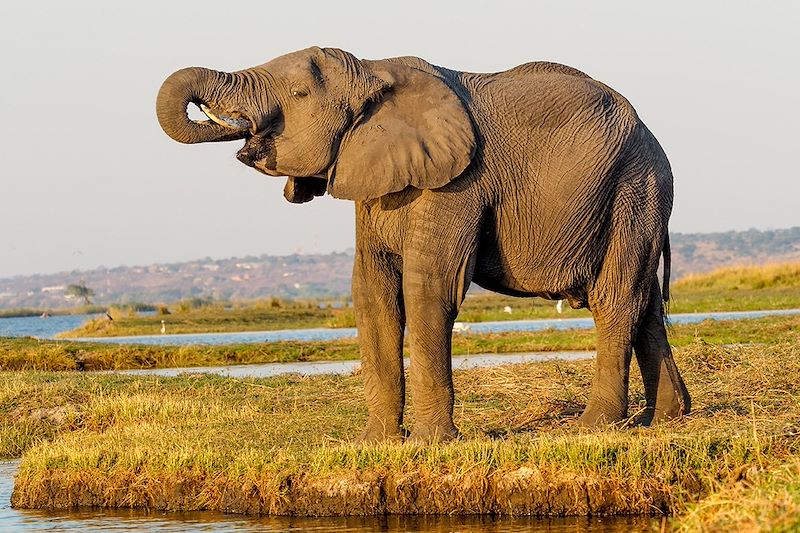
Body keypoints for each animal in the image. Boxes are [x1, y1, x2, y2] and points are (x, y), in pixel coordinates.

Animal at [158, 46, 692, 440]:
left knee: (615, 297)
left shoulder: (458, 183)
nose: (234, 125)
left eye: (299, 92)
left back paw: (595, 427)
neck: (371, 71)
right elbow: (371, 293)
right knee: (644, 301)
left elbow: (427, 289)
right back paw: (664, 418)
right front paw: (375, 444)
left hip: (636, 187)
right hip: (637, 196)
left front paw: (432, 443)